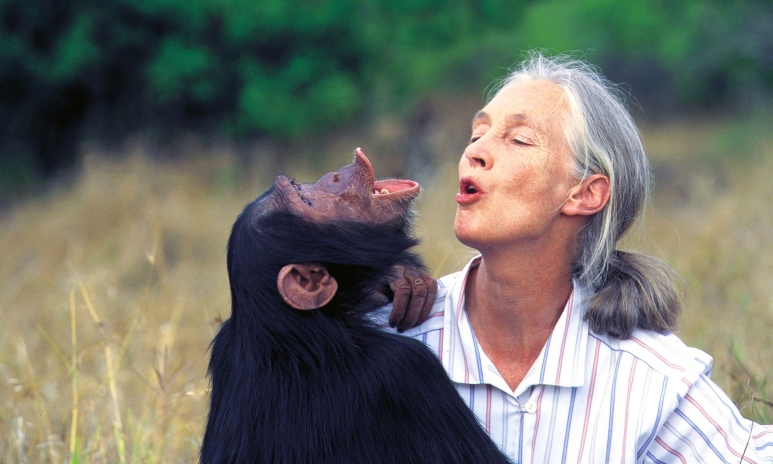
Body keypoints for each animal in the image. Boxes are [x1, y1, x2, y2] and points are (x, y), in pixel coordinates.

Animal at [202, 149, 510, 464]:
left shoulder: (225, 344)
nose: (334, 176)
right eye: (307, 203)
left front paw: (402, 276)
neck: (294, 329)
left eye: (299, 188)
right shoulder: (407, 369)